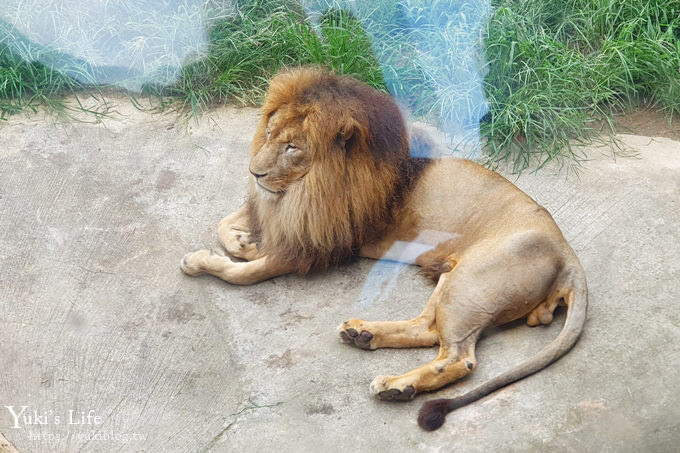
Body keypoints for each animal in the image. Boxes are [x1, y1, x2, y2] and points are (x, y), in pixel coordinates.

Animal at [181, 67, 584, 430]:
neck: (304, 189)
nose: (254, 172)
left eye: (292, 147)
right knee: (427, 328)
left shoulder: (324, 243)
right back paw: (364, 335)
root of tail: (569, 258)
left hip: (470, 283)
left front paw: (203, 260)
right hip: (452, 278)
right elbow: (228, 224)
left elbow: (246, 273)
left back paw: (396, 385)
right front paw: (243, 241)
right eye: (267, 133)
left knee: (459, 358)